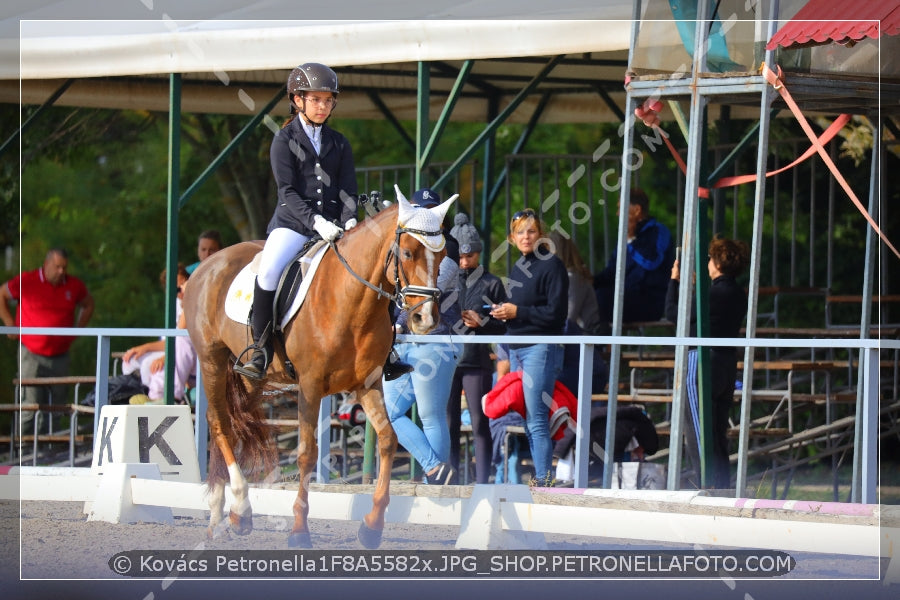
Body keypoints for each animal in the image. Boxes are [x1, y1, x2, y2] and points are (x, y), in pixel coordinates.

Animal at [182, 188, 454, 548]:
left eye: (443, 254)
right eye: (407, 252)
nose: (426, 319)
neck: (352, 301)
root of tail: (208, 264)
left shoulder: (367, 384)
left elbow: (386, 439)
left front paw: (372, 526)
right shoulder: (310, 387)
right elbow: (307, 453)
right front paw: (299, 531)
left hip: (250, 378)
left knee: (234, 422)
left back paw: (230, 515)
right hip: (211, 360)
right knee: (220, 424)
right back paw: (234, 508)